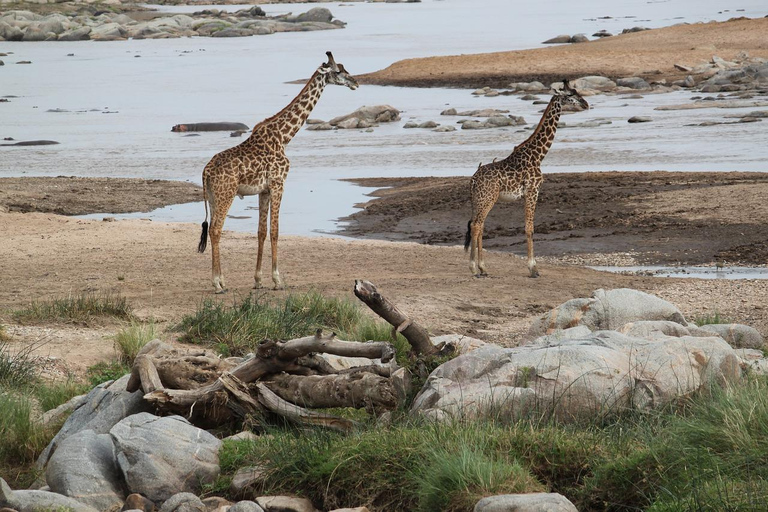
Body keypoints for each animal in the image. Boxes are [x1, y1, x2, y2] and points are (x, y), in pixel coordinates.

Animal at [196, 53, 356, 292]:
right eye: (338, 71)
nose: (355, 82)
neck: (284, 137)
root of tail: (205, 172)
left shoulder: (264, 190)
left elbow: (261, 232)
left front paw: (258, 280)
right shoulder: (279, 183)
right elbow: (275, 230)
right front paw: (278, 280)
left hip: (214, 197)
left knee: (215, 230)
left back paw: (222, 280)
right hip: (226, 194)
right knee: (215, 229)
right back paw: (217, 284)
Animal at [462, 79, 588, 278]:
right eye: (570, 95)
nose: (586, 104)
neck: (538, 155)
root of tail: (473, 180)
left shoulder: (528, 193)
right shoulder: (533, 191)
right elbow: (530, 228)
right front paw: (533, 268)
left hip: (479, 200)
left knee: (478, 226)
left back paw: (483, 267)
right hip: (487, 198)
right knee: (476, 226)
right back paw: (474, 268)